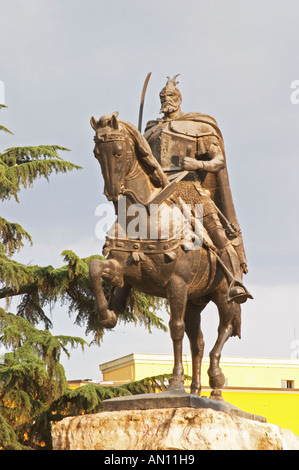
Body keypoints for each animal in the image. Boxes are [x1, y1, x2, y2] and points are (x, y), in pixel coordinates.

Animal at [89, 111, 244, 400]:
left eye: (118, 152)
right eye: (96, 153)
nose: (112, 194)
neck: (145, 215)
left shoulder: (177, 284)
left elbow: (175, 328)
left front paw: (174, 383)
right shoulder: (122, 270)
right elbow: (95, 268)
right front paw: (107, 315)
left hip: (222, 295)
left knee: (224, 329)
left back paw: (216, 384)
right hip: (195, 301)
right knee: (198, 342)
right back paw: (196, 390)